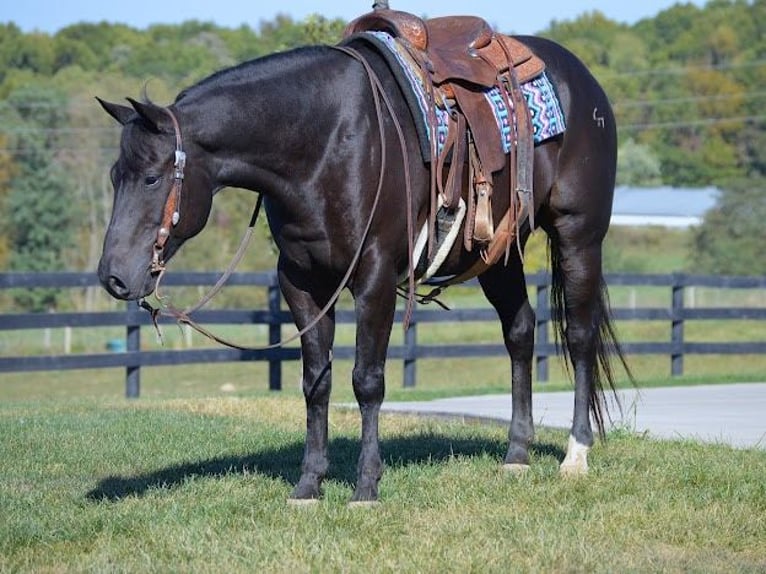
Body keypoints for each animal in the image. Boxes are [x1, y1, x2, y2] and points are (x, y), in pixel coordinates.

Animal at [99, 19, 632, 504]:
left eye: (151, 178)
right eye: (114, 176)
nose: (113, 277)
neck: (324, 142)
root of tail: (583, 81)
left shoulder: (374, 277)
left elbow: (367, 381)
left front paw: (365, 487)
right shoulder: (302, 284)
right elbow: (316, 382)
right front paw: (308, 485)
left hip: (578, 235)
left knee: (580, 335)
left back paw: (575, 454)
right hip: (498, 255)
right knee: (520, 332)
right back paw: (516, 455)